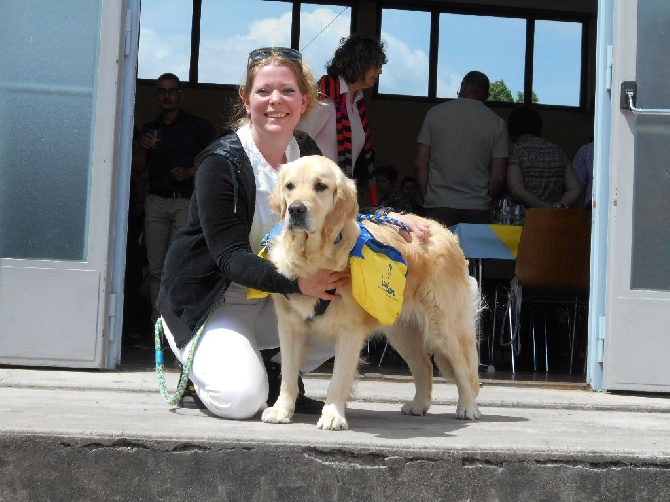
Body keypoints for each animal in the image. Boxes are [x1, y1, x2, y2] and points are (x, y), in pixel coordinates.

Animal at [260, 155, 480, 430]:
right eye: (289, 186)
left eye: (320, 186)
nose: (296, 209)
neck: (313, 257)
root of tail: (444, 231)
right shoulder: (290, 327)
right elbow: (288, 374)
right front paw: (281, 411)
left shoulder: (349, 330)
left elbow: (339, 378)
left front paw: (332, 415)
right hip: (402, 332)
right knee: (424, 366)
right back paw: (418, 405)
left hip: (444, 328)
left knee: (464, 367)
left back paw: (467, 407)